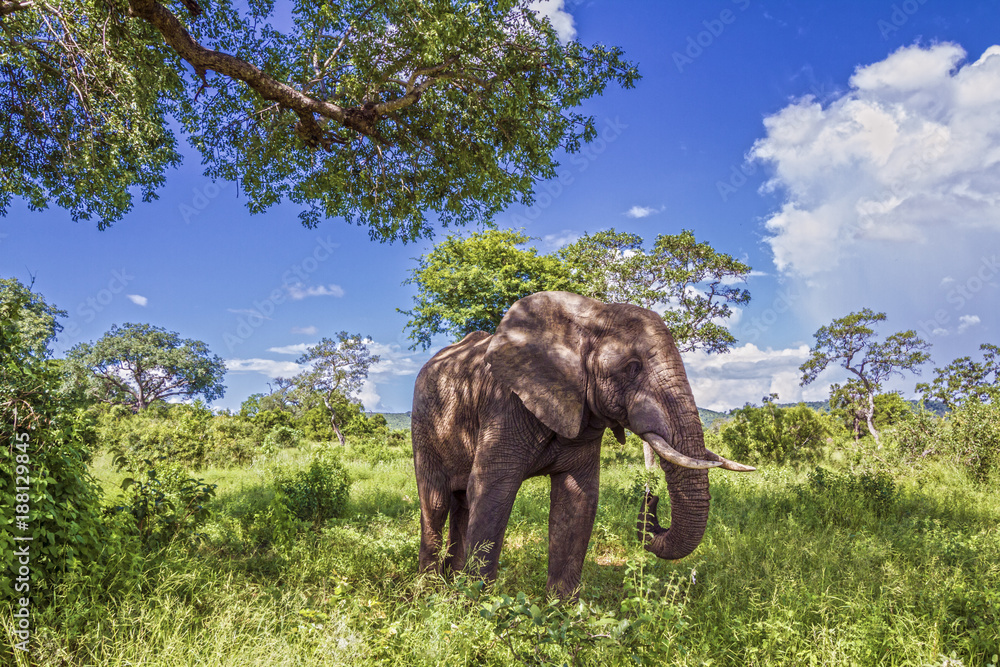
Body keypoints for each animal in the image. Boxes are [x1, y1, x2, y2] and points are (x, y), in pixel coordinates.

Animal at [411, 291, 753, 598]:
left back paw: (449, 582)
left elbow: (577, 499)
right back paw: (429, 591)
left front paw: (560, 612)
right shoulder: (504, 403)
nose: (651, 497)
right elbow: (493, 491)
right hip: (424, 423)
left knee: (461, 504)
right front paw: (476, 606)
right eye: (632, 367)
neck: (590, 317)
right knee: (437, 501)